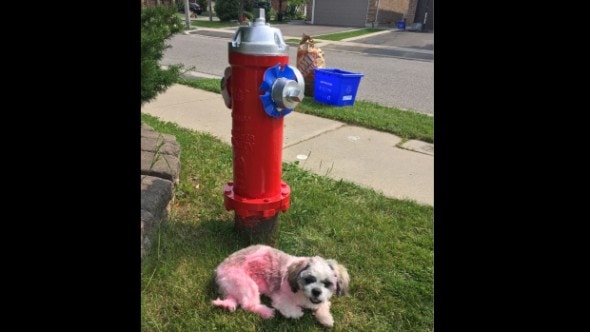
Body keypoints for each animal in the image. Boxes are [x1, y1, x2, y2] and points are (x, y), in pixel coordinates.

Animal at [214, 244, 350, 326]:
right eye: (308, 280)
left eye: (327, 284)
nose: (316, 291)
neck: (303, 296)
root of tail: (219, 269)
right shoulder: (280, 298)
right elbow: (291, 310)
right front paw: (298, 312)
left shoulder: (322, 300)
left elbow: (323, 305)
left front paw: (326, 318)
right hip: (245, 284)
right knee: (248, 304)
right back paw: (267, 312)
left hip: (234, 286)